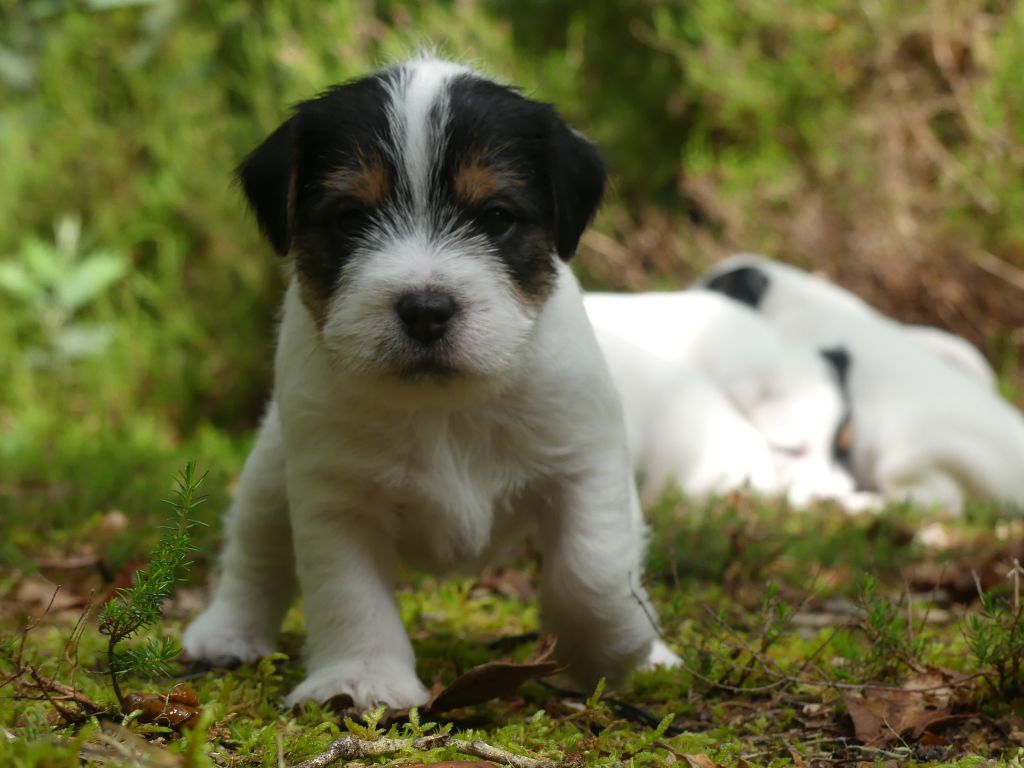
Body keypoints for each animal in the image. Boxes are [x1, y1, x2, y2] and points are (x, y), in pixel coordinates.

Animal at [184, 57, 675, 712]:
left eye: (496, 216)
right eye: (351, 218)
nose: (425, 309)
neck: (444, 406)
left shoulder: (584, 463)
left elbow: (592, 570)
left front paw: (611, 652)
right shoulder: (336, 497)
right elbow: (350, 593)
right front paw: (362, 679)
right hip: (270, 471)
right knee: (255, 549)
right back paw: (227, 633)